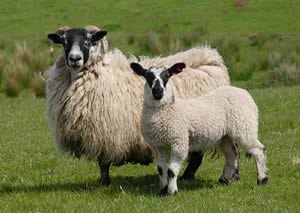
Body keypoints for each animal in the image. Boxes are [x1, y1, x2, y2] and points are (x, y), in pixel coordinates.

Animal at [46, 26, 232, 186]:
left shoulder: (105, 132)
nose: (75, 58)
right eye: (64, 42)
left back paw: (187, 177)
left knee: (197, 158)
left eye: (88, 41)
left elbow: (103, 163)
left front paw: (104, 183)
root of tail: (211, 59)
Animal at [131, 62, 270, 196]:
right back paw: (223, 180)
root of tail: (243, 92)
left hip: (244, 126)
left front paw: (172, 192)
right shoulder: (158, 146)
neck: (165, 112)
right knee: (232, 154)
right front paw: (163, 190)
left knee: (258, 150)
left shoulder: (179, 142)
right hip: (225, 135)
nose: (158, 92)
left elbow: (171, 170)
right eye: (147, 76)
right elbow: (161, 170)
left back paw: (262, 179)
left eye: (167, 75)